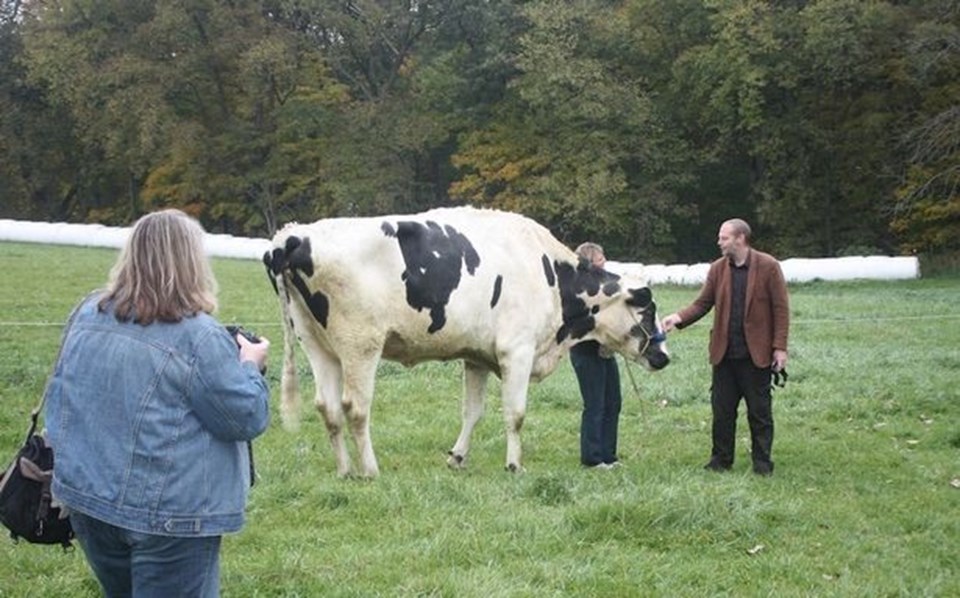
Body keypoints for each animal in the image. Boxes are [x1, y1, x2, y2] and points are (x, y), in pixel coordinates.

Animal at [262, 206, 668, 478]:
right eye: (648, 311)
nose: (663, 356)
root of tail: (291, 236)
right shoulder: (516, 351)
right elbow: (516, 413)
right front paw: (514, 465)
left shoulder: (477, 356)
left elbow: (473, 412)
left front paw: (457, 457)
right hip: (360, 344)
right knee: (355, 407)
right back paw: (370, 470)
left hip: (317, 344)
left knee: (327, 407)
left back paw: (345, 471)